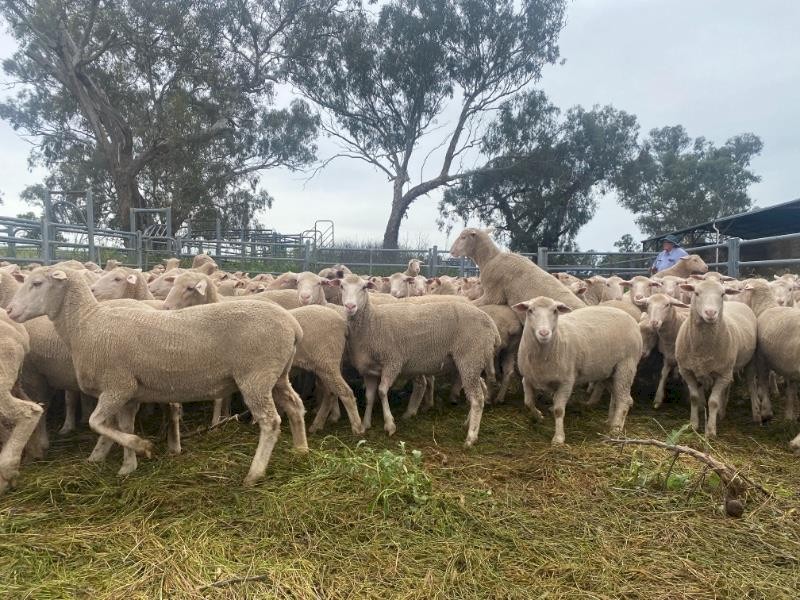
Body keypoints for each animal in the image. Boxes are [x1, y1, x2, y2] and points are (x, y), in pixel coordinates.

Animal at [7, 267, 307, 484]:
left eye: (37, 283)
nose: (9, 311)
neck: (86, 324)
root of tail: (294, 325)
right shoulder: (129, 393)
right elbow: (123, 426)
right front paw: (128, 466)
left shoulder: (117, 386)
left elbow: (96, 423)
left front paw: (142, 447)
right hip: (277, 375)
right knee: (295, 405)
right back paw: (300, 450)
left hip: (256, 376)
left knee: (270, 422)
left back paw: (254, 474)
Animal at [335, 275, 500, 446]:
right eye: (341, 286)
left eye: (364, 287)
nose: (350, 306)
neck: (372, 322)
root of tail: (491, 326)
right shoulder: (369, 371)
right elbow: (370, 397)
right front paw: (366, 423)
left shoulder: (392, 362)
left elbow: (382, 392)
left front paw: (389, 425)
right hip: (469, 362)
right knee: (482, 388)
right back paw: (468, 423)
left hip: (470, 357)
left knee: (477, 398)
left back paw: (471, 437)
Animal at [512, 297, 641, 445]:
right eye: (530, 310)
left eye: (555, 311)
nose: (544, 333)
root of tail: (631, 319)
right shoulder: (527, 378)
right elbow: (528, 403)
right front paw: (538, 416)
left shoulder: (566, 382)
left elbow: (558, 410)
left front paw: (558, 438)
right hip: (610, 371)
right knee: (620, 396)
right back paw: (610, 421)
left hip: (626, 365)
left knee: (624, 400)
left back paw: (616, 429)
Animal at [675, 279, 759, 437]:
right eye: (696, 293)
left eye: (722, 294)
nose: (710, 313)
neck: (702, 350)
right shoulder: (686, 371)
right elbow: (694, 398)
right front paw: (693, 425)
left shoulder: (723, 374)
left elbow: (713, 402)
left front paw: (710, 431)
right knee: (728, 386)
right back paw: (722, 412)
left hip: (747, 362)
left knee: (751, 386)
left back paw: (756, 415)